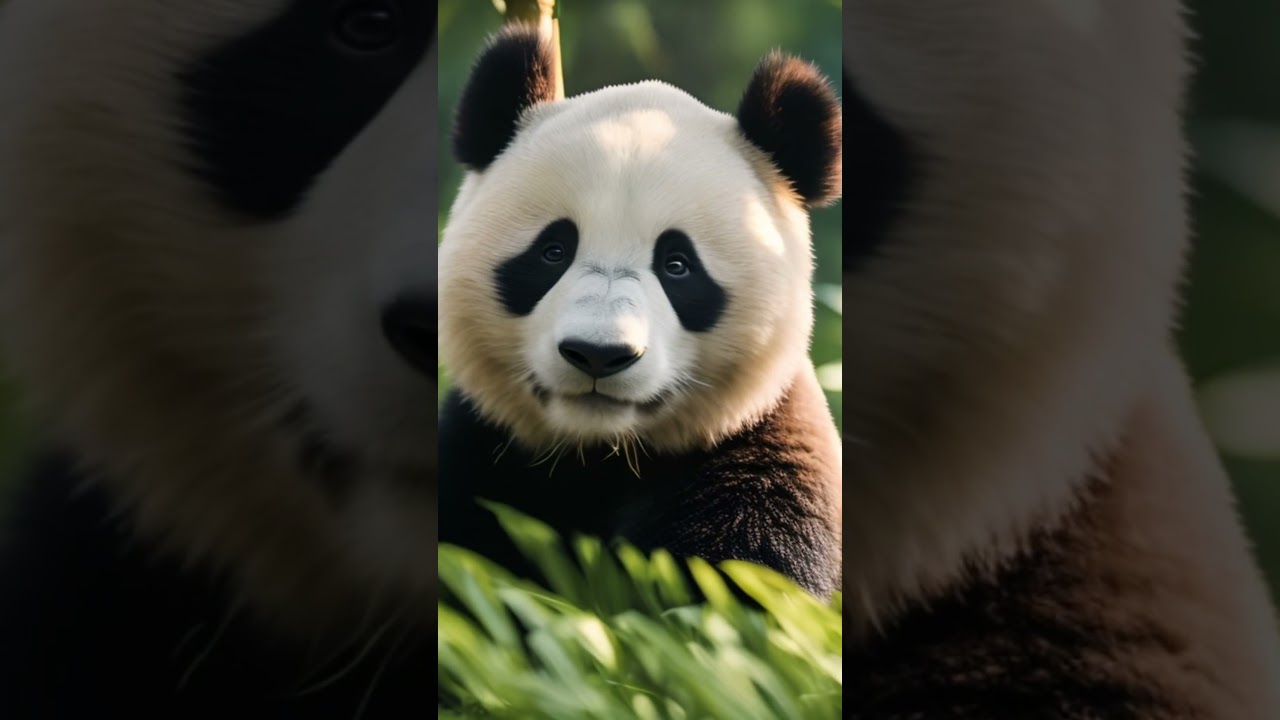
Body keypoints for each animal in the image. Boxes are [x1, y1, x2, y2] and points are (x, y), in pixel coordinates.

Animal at [436, 28, 843, 599]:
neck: (599, 457)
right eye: (553, 251)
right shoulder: (482, 455)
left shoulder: (763, 470)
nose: (597, 354)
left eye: (677, 265)